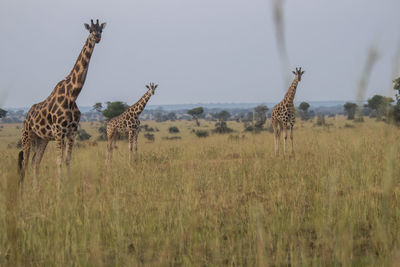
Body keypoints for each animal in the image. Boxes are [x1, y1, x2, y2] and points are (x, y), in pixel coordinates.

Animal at [17, 19, 106, 186]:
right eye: (90, 30)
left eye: (101, 30)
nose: (97, 37)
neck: (73, 95)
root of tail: (26, 117)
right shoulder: (59, 132)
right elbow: (58, 161)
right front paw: (59, 188)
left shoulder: (71, 132)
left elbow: (67, 160)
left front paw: (67, 185)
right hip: (27, 135)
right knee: (24, 162)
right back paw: (22, 190)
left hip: (42, 139)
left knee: (35, 161)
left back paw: (36, 190)